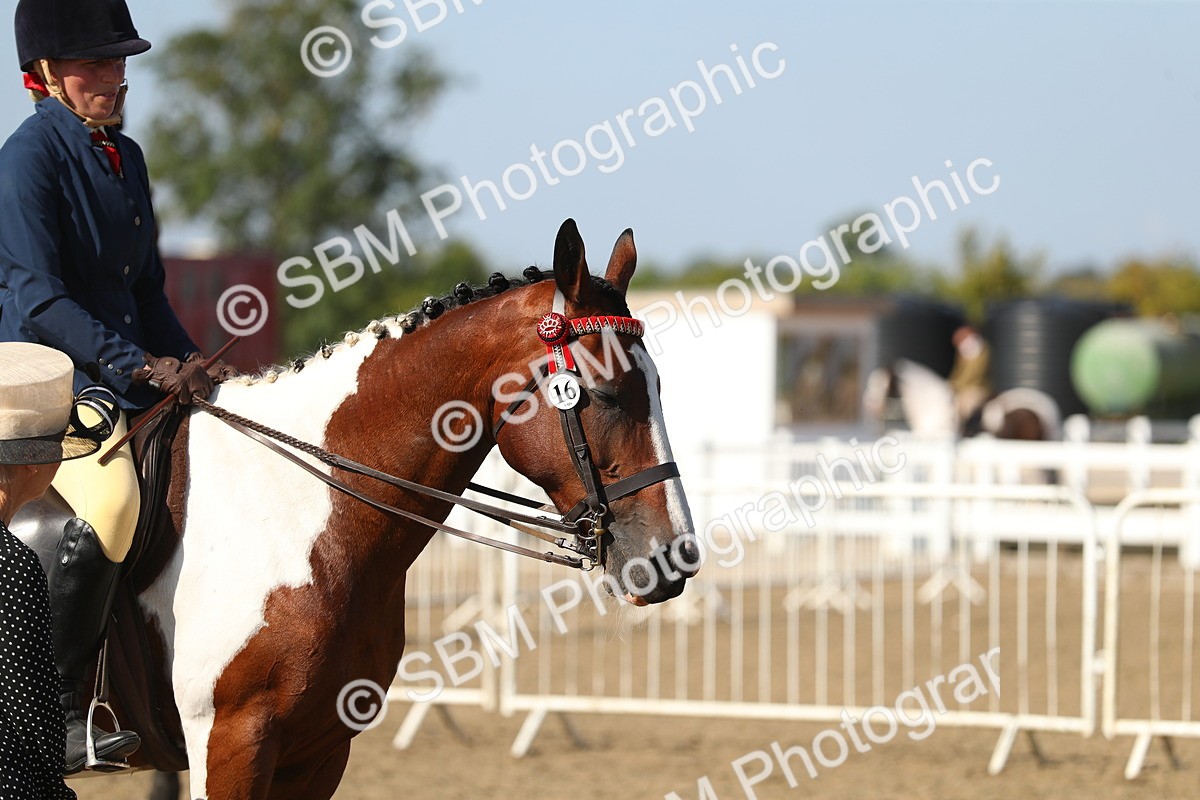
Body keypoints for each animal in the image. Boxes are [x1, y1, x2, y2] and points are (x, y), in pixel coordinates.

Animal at [14, 219, 700, 799]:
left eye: (660, 387)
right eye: (605, 394)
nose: (674, 558)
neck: (300, 514)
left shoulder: (317, 753)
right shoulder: (230, 741)